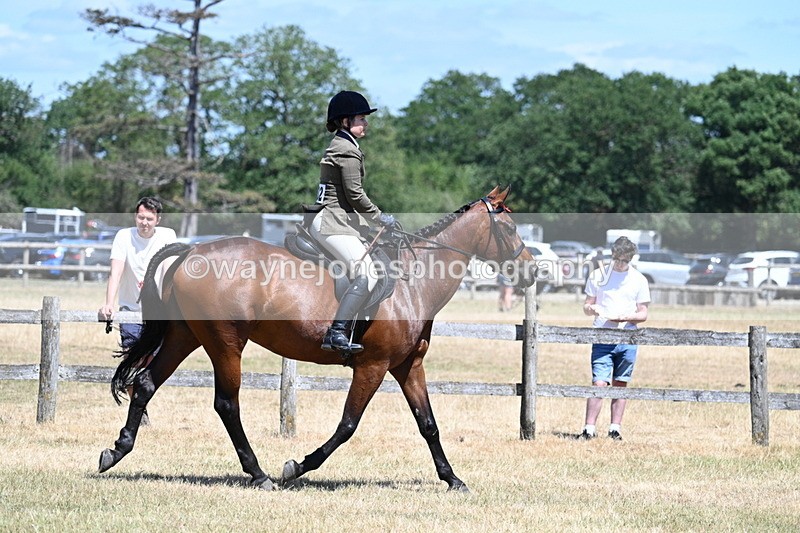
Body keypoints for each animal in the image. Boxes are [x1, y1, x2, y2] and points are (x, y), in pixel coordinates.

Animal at [97, 186, 537, 492]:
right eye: (510, 227)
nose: (533, 271)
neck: (413, 281)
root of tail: (191, 253)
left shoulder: (408, 365)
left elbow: (428, 424)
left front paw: (452, 479)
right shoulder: (373, 366)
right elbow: (347, 425)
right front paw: (297, 467)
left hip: (185, 335)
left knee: (146, 383)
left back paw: (116, 451)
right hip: (226, 343)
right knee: (226, 404)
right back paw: (259, 474)